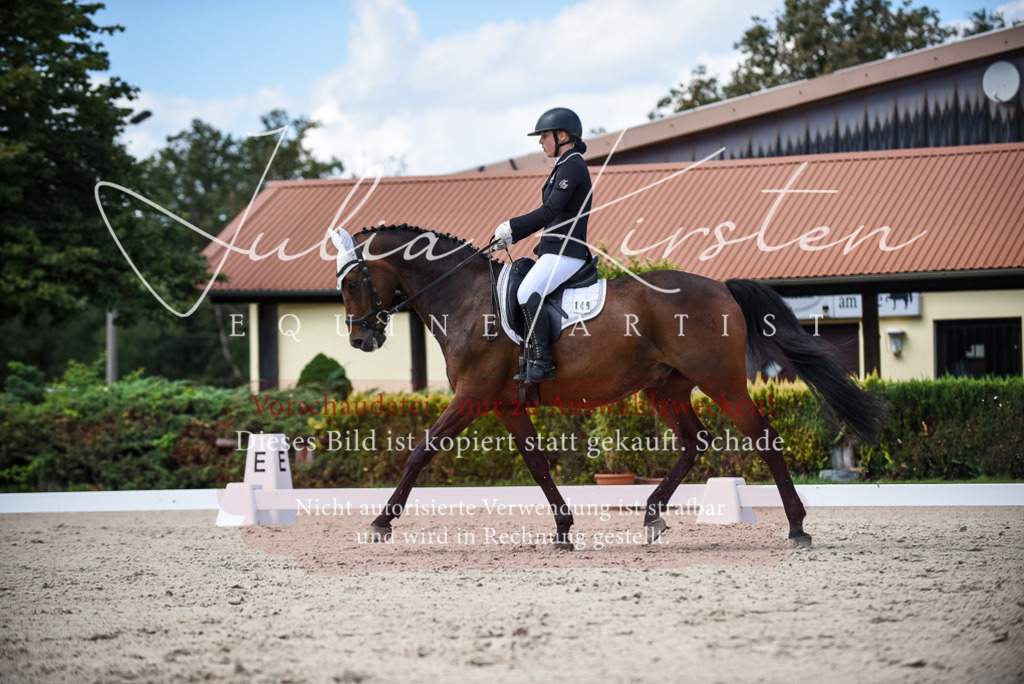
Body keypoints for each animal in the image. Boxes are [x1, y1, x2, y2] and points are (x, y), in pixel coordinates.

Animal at [330, 223, 888, 549]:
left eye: (352, 282)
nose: (361, 339)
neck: (466, 300)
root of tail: (722, 287)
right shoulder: (506, 404)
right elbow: (536, 463)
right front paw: (562, 530)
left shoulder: (472, 398)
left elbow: (419, 452)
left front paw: (381, 523)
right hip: (667, 389)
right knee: (695, 442)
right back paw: (653, 516)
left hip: (721, 382)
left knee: (764, 439)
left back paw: (796, 527)